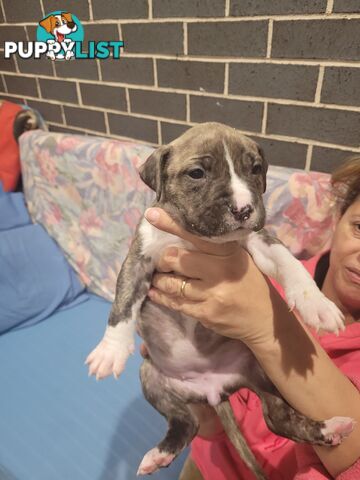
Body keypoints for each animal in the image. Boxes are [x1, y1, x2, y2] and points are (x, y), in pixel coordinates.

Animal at [85, 123, 354, 476]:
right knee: (187, 423)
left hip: (264, 375)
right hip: (152, 379)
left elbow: (289, 262)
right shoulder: (140, 257)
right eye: (197, 173)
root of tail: (212, 391)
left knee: (278, 418)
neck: (197, 237)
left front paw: (316, 304)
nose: (243, 209)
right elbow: (123, 303)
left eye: (255, 169)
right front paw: (111, 350)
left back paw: (332, 428)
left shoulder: (259, 240)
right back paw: (161, 453)